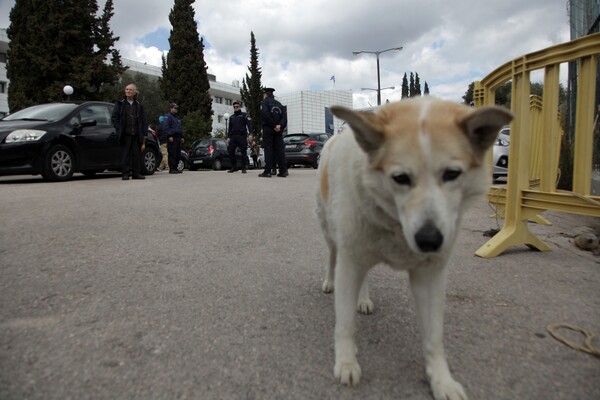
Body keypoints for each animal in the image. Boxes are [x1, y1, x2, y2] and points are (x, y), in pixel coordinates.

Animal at [316, 97, 512, 400]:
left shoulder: (430, 276)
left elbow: (433, 337)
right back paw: (329, 281)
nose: (429, 240)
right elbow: (345, 324)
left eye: (452, 174)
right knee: (332, 257)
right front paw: (346, 363)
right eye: (400, 178)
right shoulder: (350, 262)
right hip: (333, 233)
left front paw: (441, 380)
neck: (395, 224)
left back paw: (363, 299)